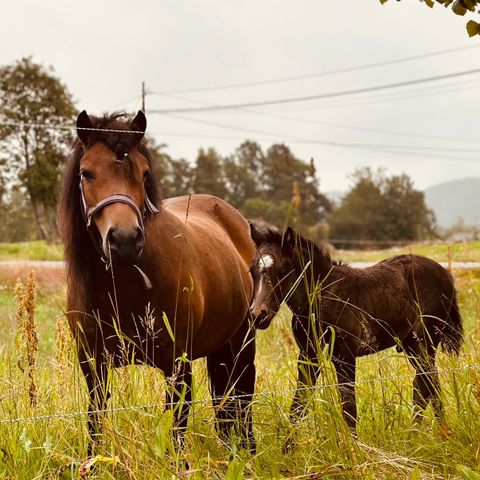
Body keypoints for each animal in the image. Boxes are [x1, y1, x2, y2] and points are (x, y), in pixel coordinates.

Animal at [59, 109, 258, 454]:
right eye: (86, 173)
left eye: (144, 173)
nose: (125, 240)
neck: (124, 287)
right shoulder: (93, 364)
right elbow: (95, 420)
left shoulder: (177, 364)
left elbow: (176, 429)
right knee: (226, 404)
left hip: (243, 339)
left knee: (243, 400)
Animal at [249, 225, 464, 432]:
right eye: (252, 270)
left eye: (284, 270)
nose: (258, 314)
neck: (323, 296)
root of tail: (446, 275)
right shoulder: (309, 355)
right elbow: (298, 404)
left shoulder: (345, 356)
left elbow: (349, 408)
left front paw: (355, 445)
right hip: (412, 344)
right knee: (429, 383)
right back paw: (432, 432)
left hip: (426, 342)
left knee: (426, 384)